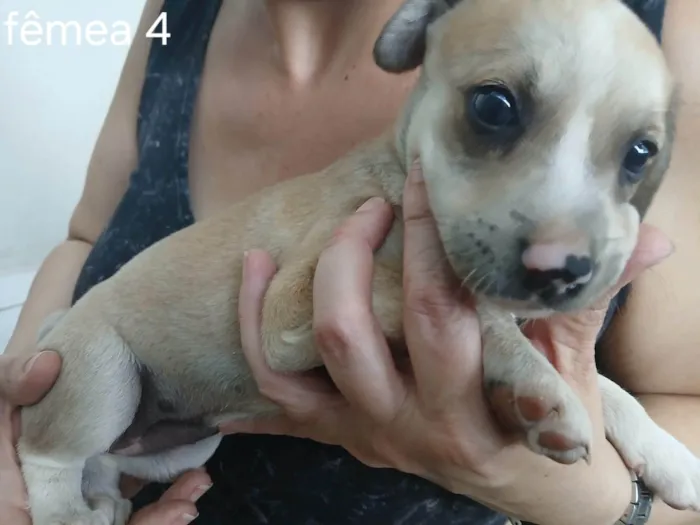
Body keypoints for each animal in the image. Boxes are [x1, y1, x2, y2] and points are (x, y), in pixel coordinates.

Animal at [16, 1, 700, 524]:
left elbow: (609, 388)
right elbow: (470, 316)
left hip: (183, 445)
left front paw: (670, 457)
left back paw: (104, 500)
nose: (564, 270)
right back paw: (69, 514)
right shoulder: (293, 305)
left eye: (639, 154)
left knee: (101, 462)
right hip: (104, 376)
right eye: (494, 107)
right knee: (45, 455)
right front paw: (538, 386)